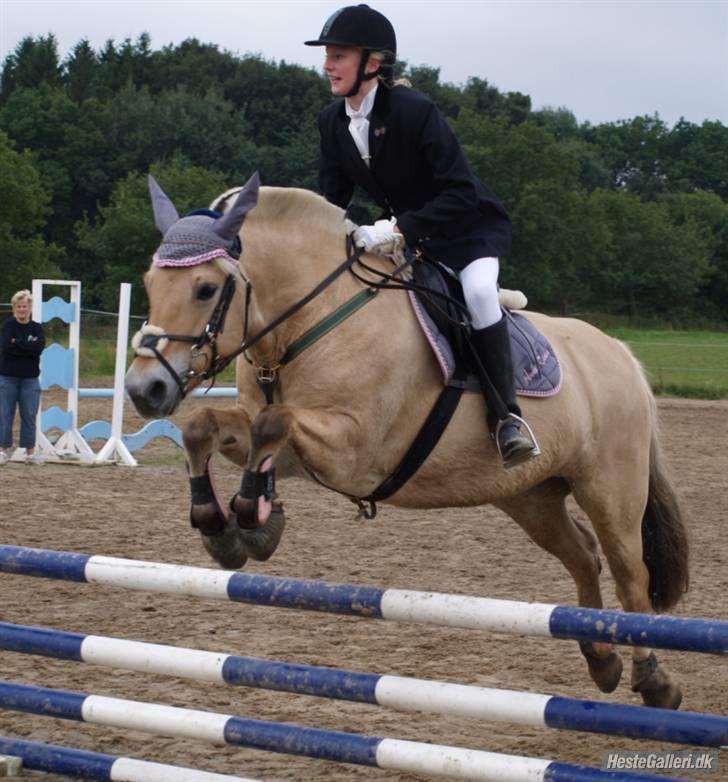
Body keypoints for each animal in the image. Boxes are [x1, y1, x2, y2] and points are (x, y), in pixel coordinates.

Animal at [125, 175, 688, 712]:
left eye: (204, 288)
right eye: (151, 283)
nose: (143, 390)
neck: (312, 319)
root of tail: (618, 352)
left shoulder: (353, 448)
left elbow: (271, 423)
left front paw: (252, 518)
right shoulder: (276, 443)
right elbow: (210, 427)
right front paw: (227, 526)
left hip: (609, 488)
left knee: (629, 572)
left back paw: (653, 680)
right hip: (530, 496)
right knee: (583, 557)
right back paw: (601, 659)